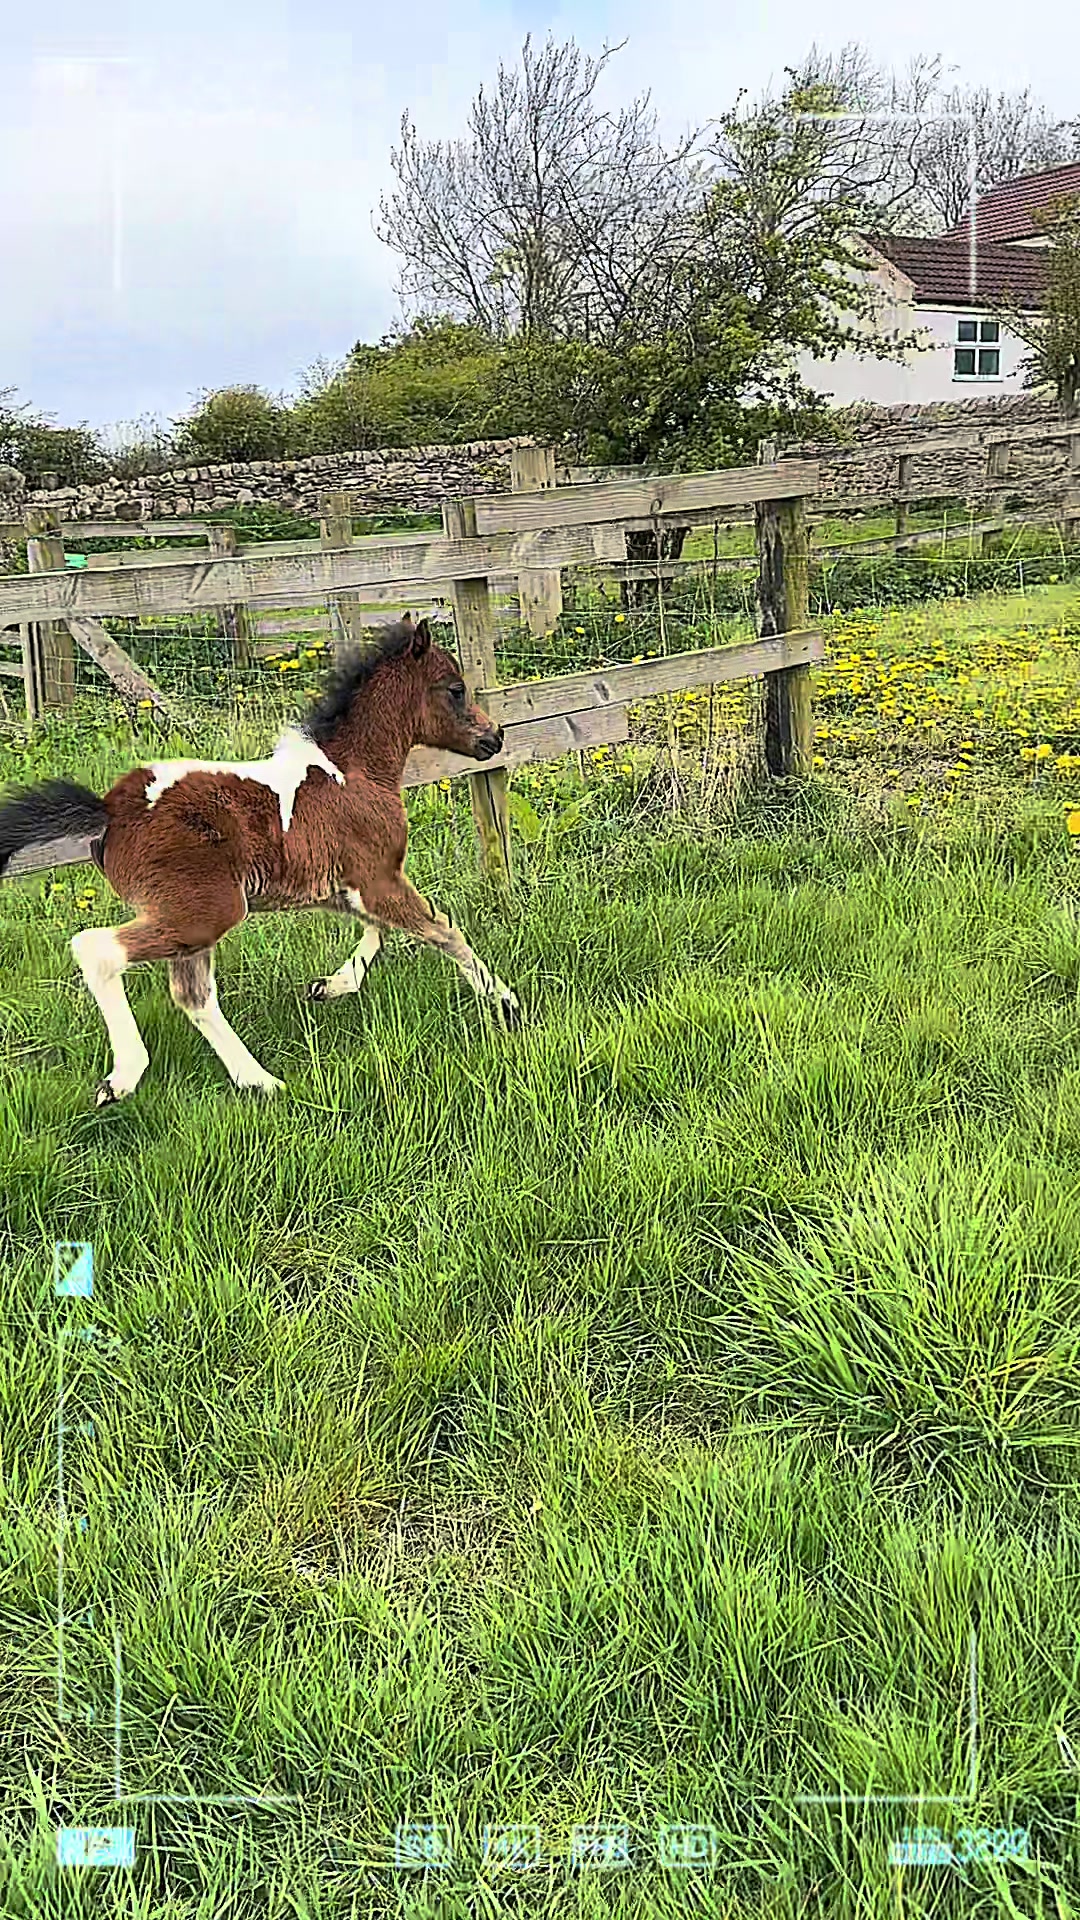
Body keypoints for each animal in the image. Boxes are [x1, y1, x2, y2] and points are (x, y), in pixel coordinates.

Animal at [0, 613, 521, 1105]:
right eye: (455, 689)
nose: (494, 737)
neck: (354, 771)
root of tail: (110, 810)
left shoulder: (343, 887)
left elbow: (379, 934)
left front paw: (329, 986)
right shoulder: (377, 879)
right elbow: (444, 930)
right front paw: (506, 1003)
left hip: (190, 915)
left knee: (193, 995)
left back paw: (261, 1081)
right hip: (205, 910)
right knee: (99, 949)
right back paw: (124, 1077)